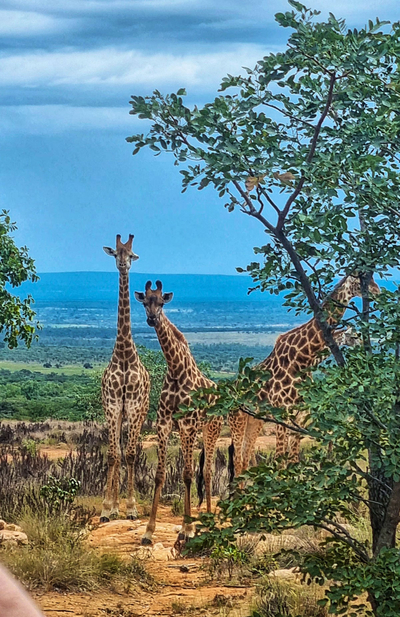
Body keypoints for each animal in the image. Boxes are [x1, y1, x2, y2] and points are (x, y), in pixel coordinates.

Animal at [134, 280, 222, 544]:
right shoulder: (164, 425)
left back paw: (208, 519)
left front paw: (188, 528)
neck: (175, 370)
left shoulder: (187, 426)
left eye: (162, 303)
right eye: (145, 302)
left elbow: (187, 474)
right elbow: (161, 475)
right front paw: (149, 531)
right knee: (201, 471)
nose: (152, 319)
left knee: (207, 471)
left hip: (211, 429)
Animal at [228, 274, 378, 476]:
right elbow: (280, 463)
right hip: (237, 419)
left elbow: (293, 462)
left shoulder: (300, 416)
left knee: (244, 460)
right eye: (358, 277)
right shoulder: (282, 414)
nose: (377, 291)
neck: (304, 359)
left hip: (255, 421)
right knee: (237, 461)